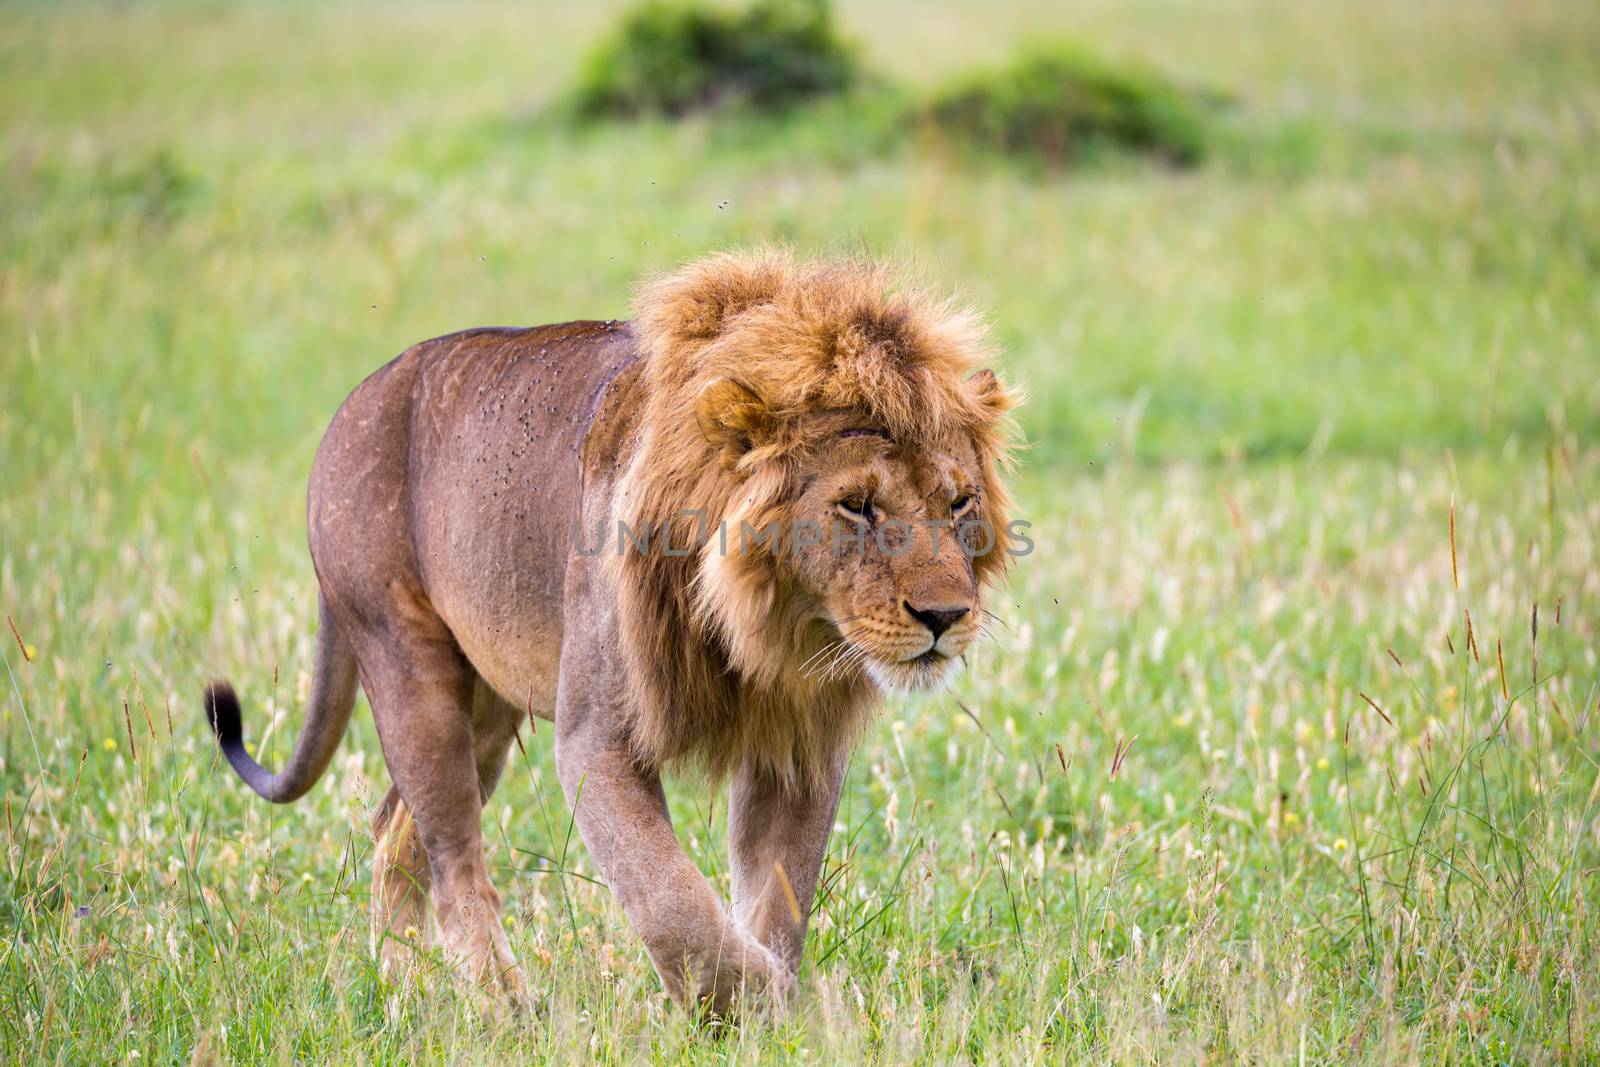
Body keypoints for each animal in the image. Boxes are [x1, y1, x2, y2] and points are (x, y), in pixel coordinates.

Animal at [206, 247, 1017, 1011]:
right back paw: (503, 1006)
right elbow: (670, 898)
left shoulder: (797, 743)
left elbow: (778, 894)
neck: (766, 626)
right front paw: (757, 1003)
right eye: (856, 505)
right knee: (452, 852)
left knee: (394, 833)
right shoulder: (597, 736)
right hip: (407, 661)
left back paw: (407, 987)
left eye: (959, 502)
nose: (945, 616)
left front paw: (780, 1007)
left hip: (488, 701)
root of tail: (355, 400)